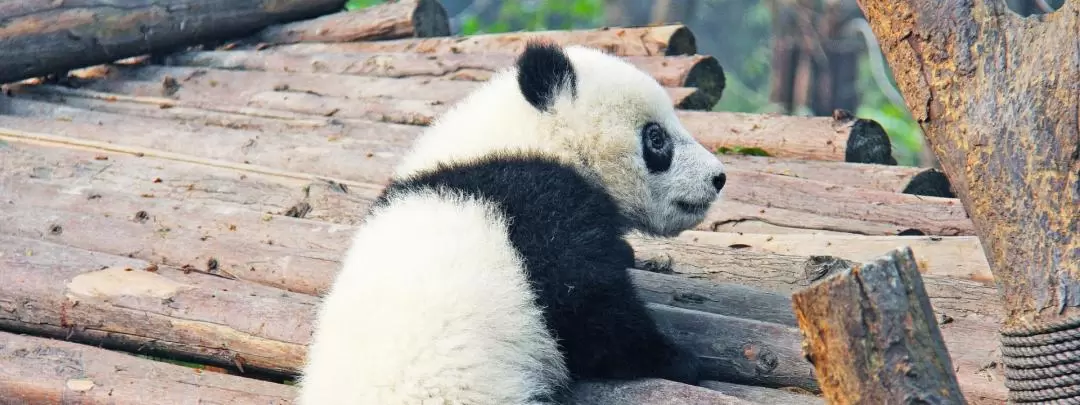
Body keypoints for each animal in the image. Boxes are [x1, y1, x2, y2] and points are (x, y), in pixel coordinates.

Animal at [300, 42, 730, 405]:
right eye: (656, 138)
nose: (718, 178)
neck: (525, 138)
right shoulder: (537, 206)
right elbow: (587, 310)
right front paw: (675, 358)